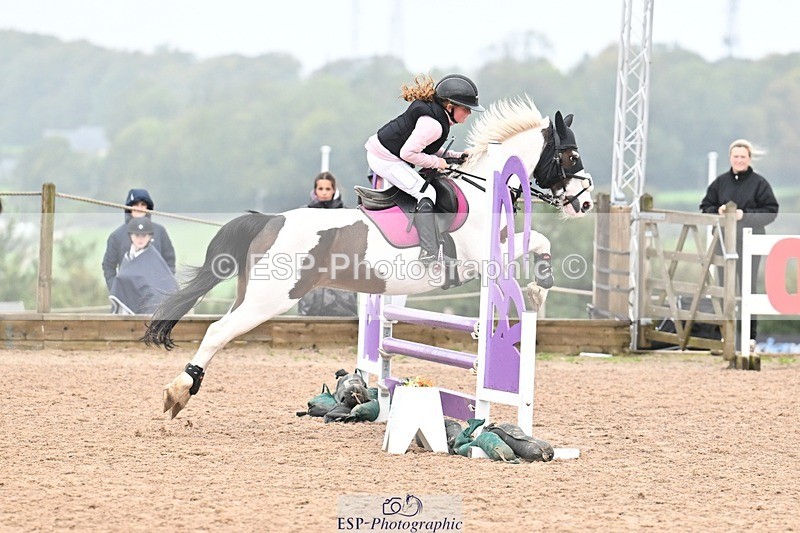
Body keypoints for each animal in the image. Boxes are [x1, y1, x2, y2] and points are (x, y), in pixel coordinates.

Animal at [145, 96, 595, 419]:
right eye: (571, 157)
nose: (586, 203)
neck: (486, 189)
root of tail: (271, 220)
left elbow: (536, 241)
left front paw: (539, 287)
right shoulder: (482, 258)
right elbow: (534, 241)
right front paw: (540, 287)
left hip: (251, 293)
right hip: (269, 298)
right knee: (217, 332)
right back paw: (179, 392)